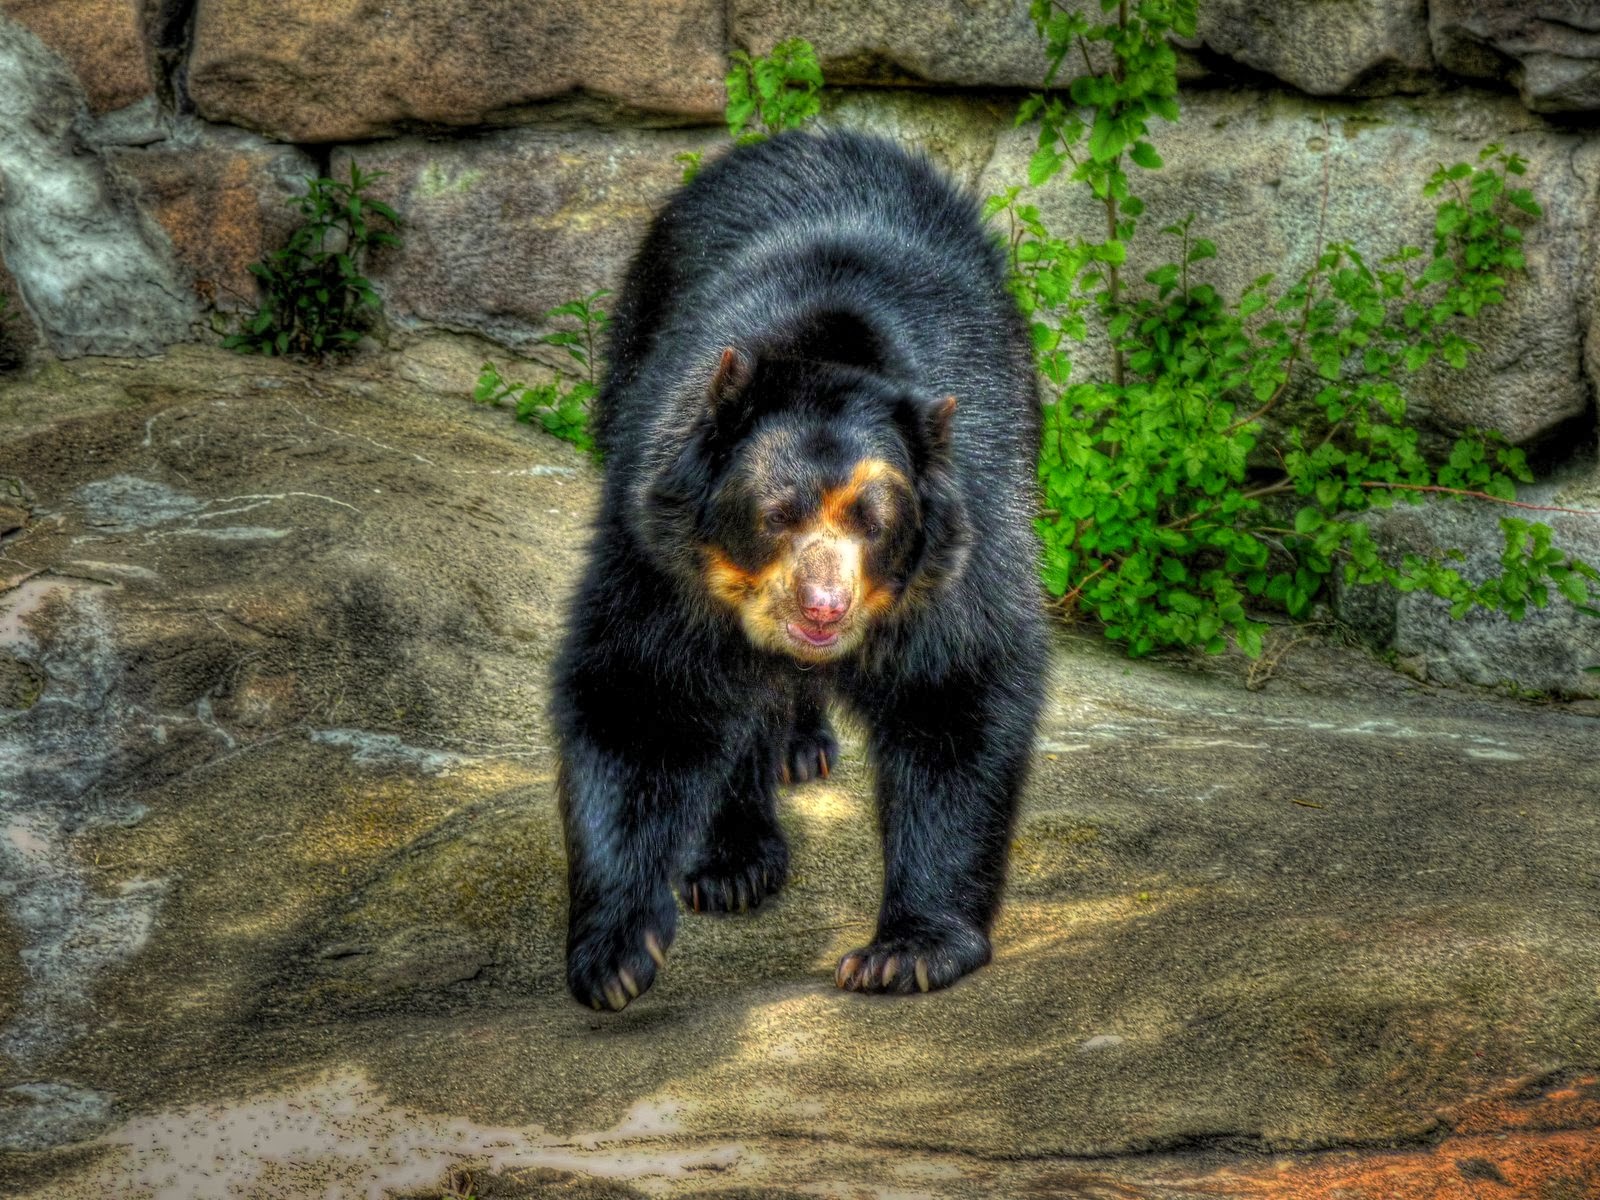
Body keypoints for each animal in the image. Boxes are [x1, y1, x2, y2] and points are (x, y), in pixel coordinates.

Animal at [553, 129, 1048, 1011]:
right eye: (776, 514)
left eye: (875, 523)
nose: (822, 606)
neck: (829, 350)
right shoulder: (661, 549)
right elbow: (641, 691)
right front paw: (616, 955)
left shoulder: (970, 528)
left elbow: (956, 688)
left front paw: (906, 952)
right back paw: (734, 860)